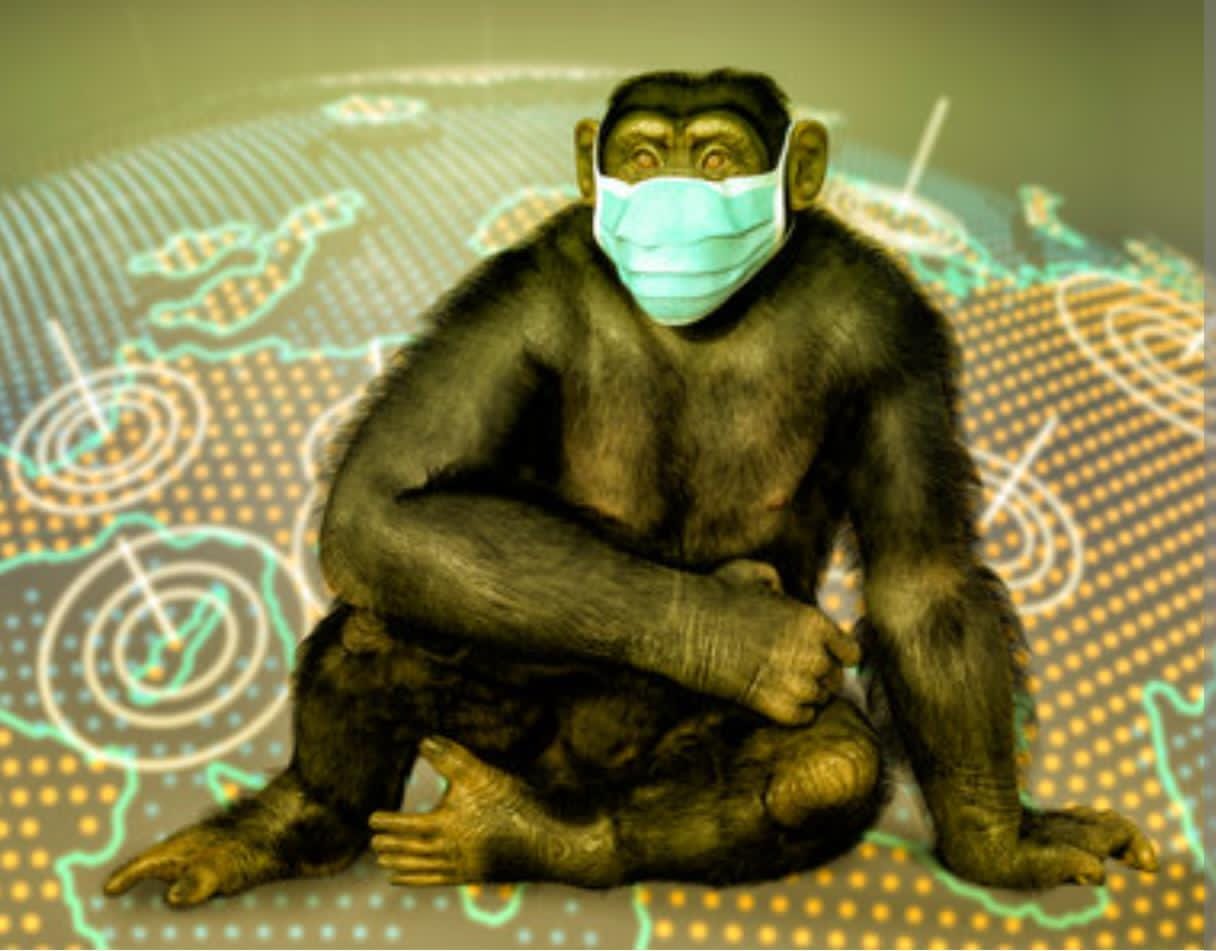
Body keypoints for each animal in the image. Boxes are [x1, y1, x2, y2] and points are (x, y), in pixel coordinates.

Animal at [103, 68, 1156, 907]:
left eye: (719, 157)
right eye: (644, 156)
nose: (671, 194)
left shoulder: (891, 328)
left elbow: (921, 579)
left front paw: (999, 843)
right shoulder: (520, 293)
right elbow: (384, 500)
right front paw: (743, 631)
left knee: (829, 763)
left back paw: (530, 838)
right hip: (505, 726)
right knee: (374, 626)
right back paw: (292, 825)